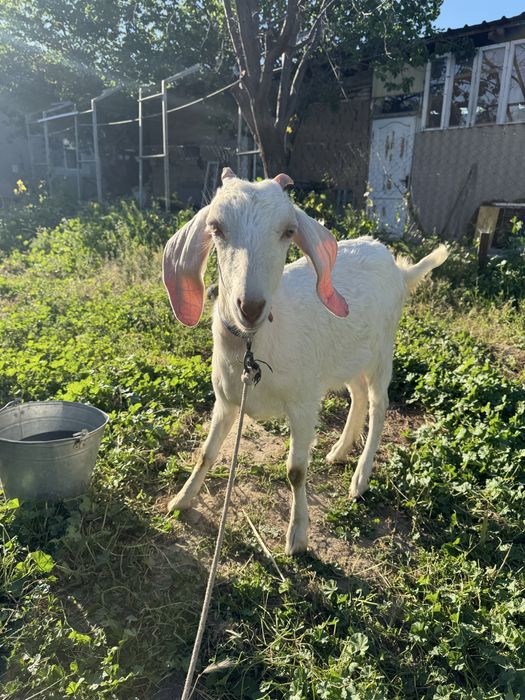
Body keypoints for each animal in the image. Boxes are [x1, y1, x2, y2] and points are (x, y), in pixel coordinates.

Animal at [162, 169, 448, 555]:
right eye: (216, 228)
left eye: (288, 231)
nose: (250, 307)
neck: (256, 346)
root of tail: (394, 265)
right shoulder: (227, 400)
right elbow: (206, 453)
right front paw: (181, 500)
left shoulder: (302, 403)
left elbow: (296, 471)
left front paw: (297, 538)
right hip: (345, 356)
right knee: (358, 395)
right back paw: (340, 450)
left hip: (382, 350)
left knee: (379, 405)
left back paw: (360, 478)